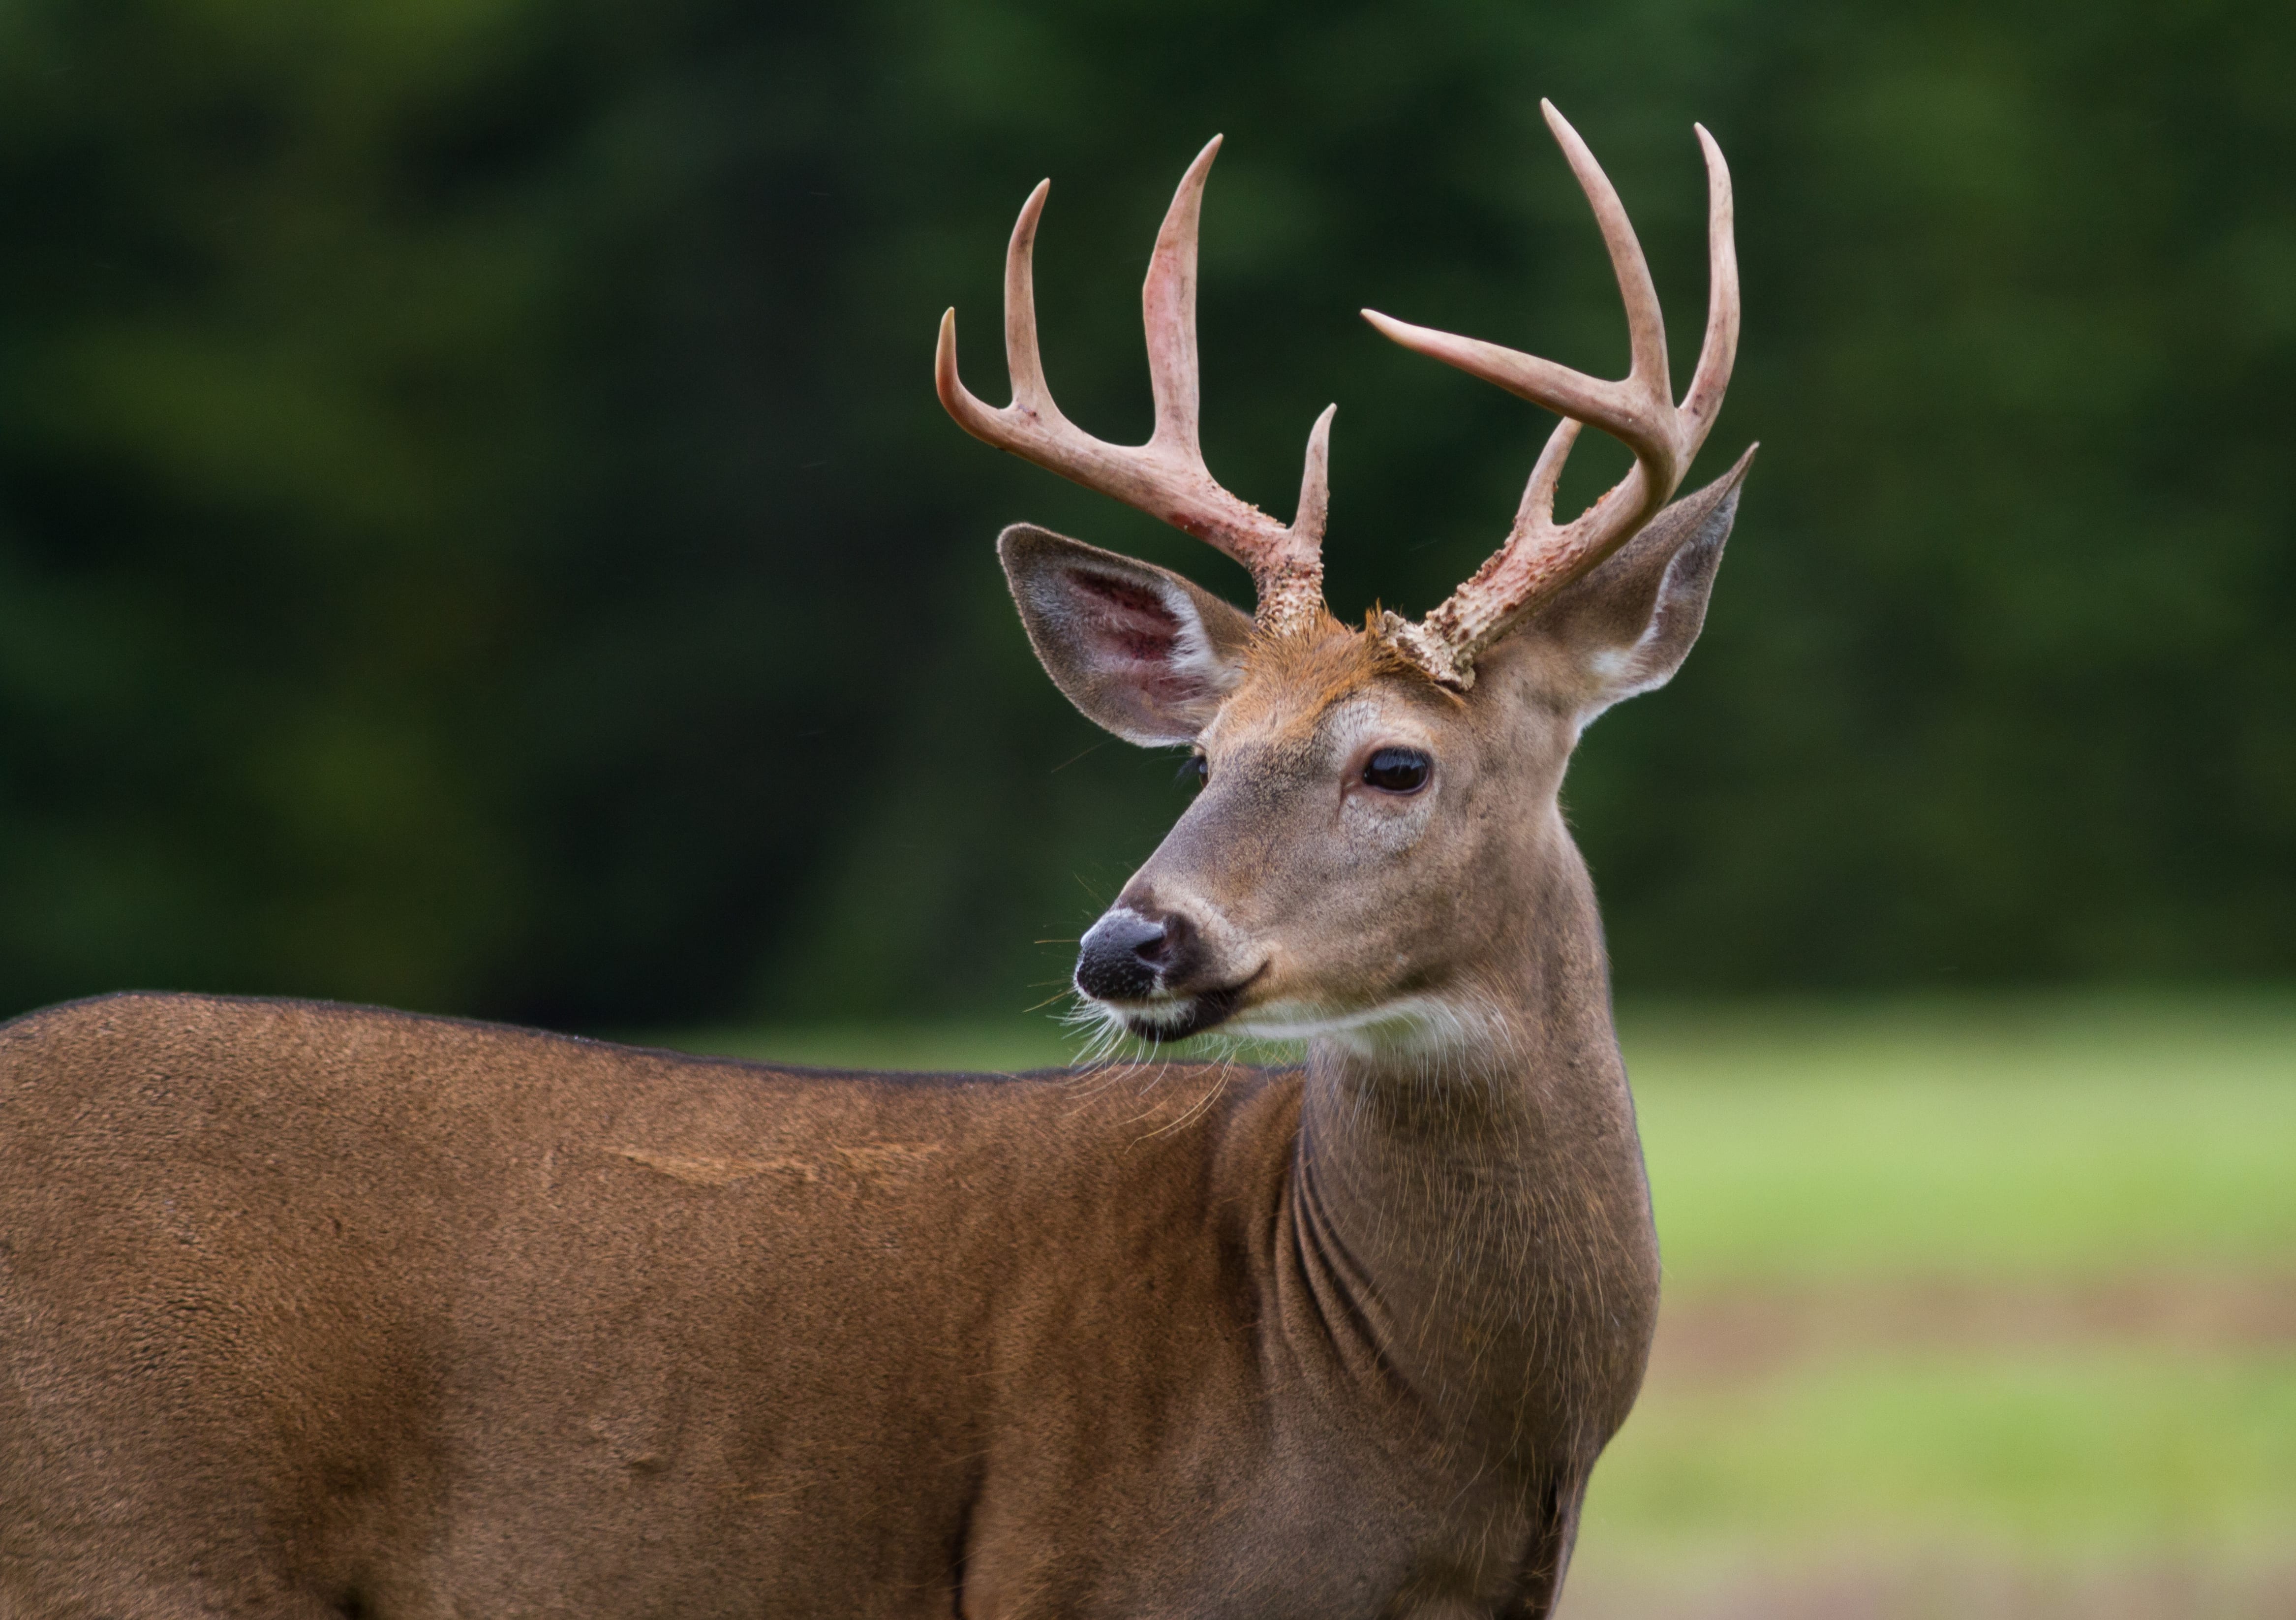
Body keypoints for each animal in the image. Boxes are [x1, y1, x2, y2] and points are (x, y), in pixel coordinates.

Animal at [4, 104, 1736, 1618]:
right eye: (1202, 755)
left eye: (1395, 761)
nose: (1128, 947)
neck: (1382, 1394)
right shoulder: (1088, 1576)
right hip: (127, 1531)